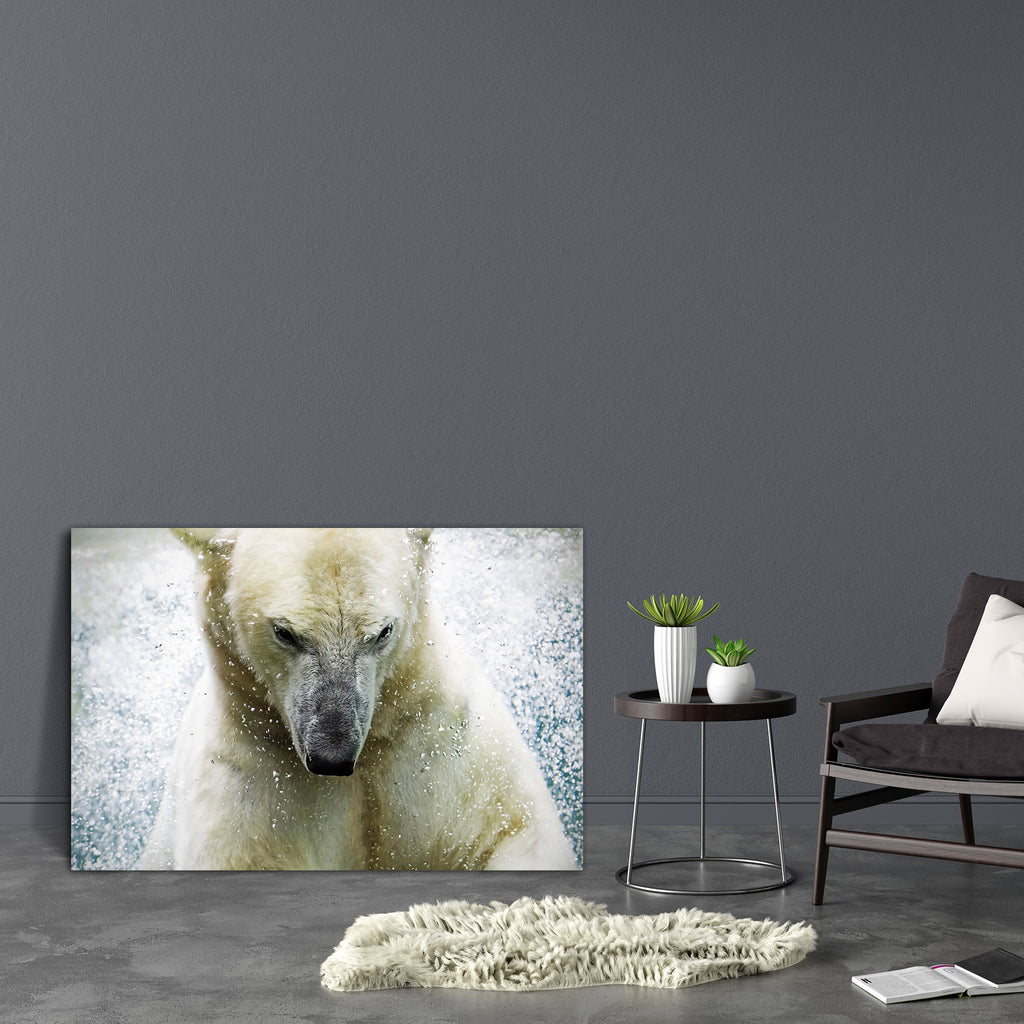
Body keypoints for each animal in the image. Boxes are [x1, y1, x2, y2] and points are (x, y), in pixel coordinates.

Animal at [139, 527, 578, 871]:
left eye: (382, 632)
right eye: (285, 633)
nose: (332, 756)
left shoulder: (441, 743)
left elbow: (507, 831)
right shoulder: (253, 780)